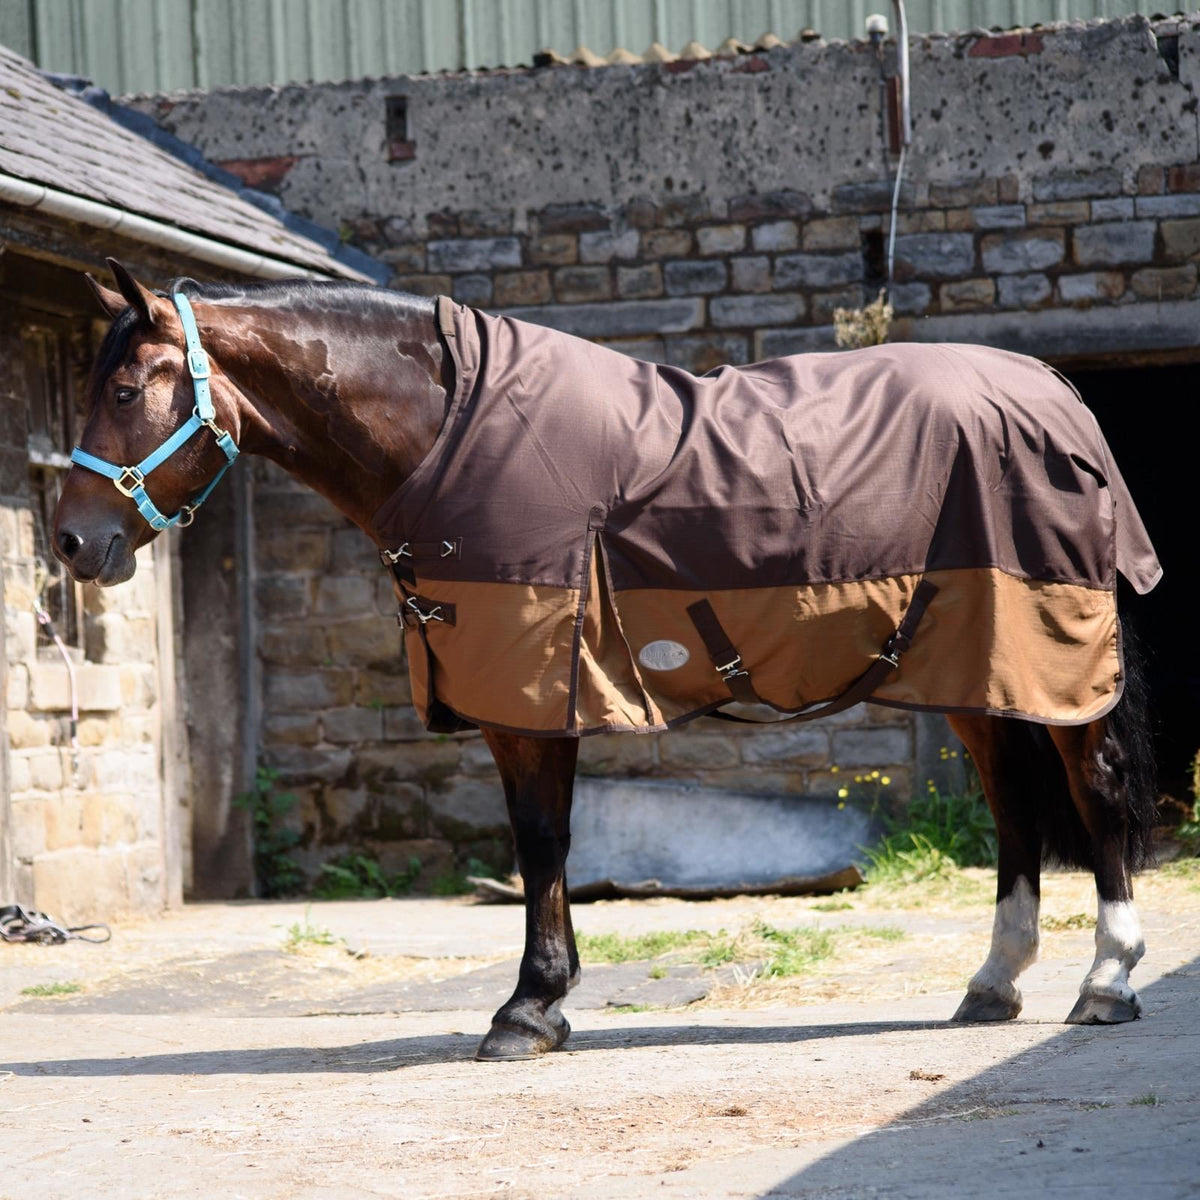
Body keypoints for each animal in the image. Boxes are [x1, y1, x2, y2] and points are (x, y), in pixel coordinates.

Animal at [53, 259, 1160, 1062]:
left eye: (125, 388)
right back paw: (994, 983)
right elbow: (543, 843)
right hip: (977, 666)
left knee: (1093, 789)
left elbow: (543, 842)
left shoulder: (531, 685)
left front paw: (528, 1009)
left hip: (1053, 656)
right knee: (1014, 804)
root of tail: (1050, 391)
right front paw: (546, 1002)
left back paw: (1107, 981)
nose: (69, 543)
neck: (447, 433)